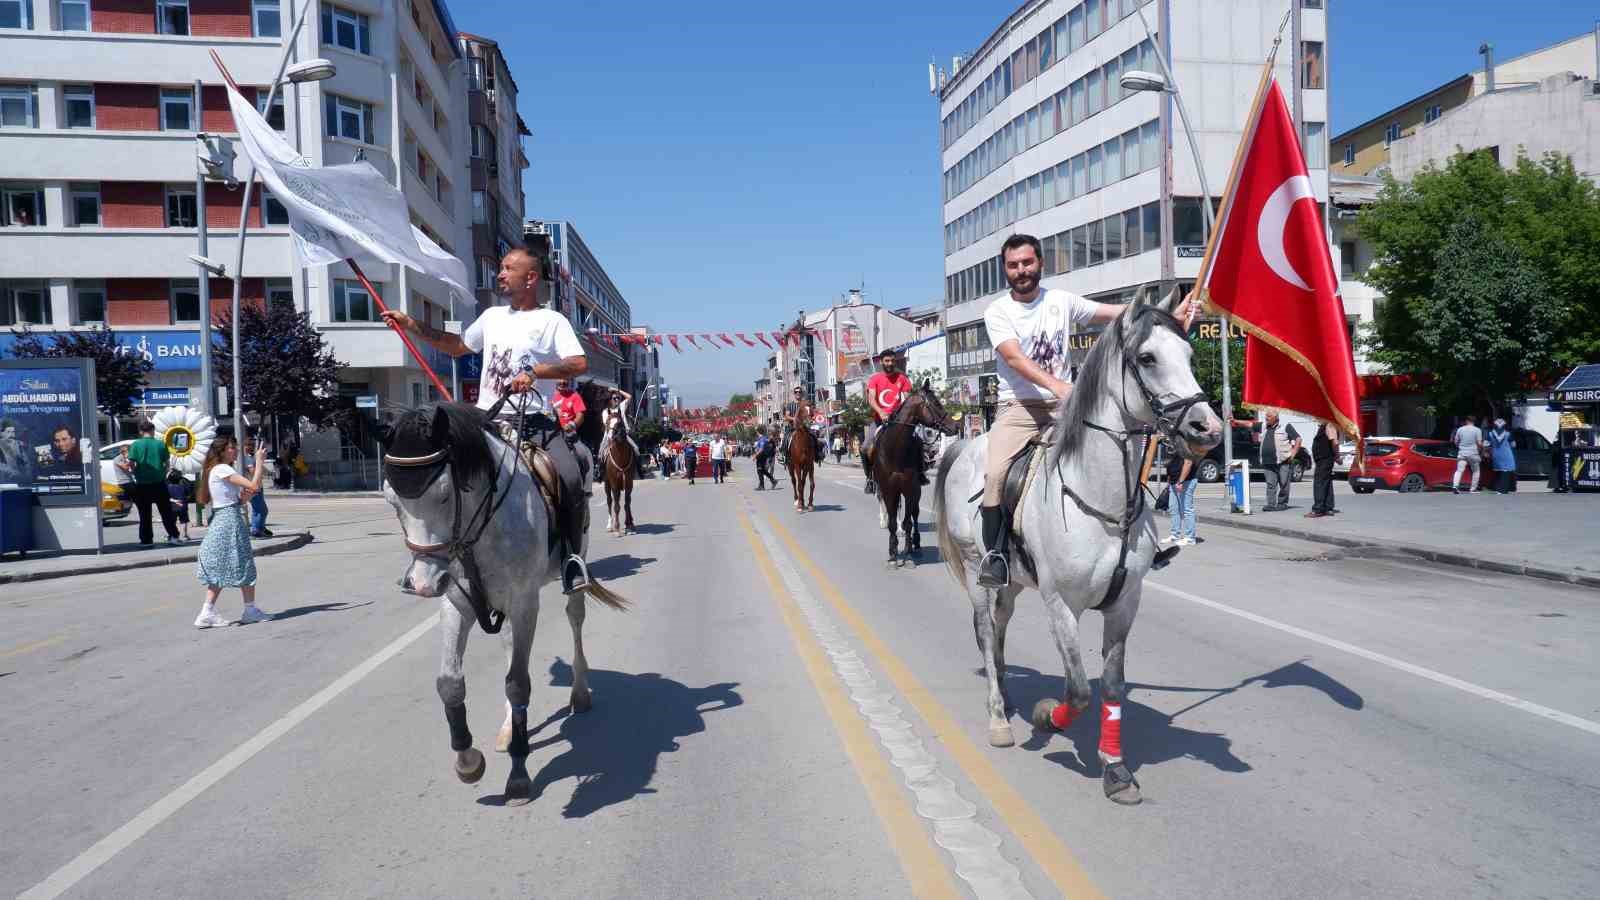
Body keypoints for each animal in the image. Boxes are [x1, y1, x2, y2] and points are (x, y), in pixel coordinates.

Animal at [384, 403, 627, 800]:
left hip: (573, 573)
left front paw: (518, 773)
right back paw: (508, 727)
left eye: (445, 494)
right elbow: (450, 682)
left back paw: (579, 693)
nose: (423, 584)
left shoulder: (525, 603)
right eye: (392, 500)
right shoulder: (457, 603)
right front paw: (468, 761)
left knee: (574, 619)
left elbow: (518, 683)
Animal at [870, 381, 953, 563]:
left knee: (914, 513)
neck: (895, 451)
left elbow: (908, 520)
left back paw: (916, 543)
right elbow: (892, 522)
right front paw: (893, 554)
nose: (955, 425)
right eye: (936, 403)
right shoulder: (889, 490)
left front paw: (908, 553)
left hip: (916, 490)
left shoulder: (910, 488)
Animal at [934, 293, 1216, 797]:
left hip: (1011, 582)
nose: (1208, 428)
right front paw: (1048, 718)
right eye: (1148, 358)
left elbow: (1111, 686)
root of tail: (964, 446)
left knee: (1001, 628)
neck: (1102, 502)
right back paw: (998, 718)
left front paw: (1115, 769)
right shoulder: (1061, 605)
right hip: (975, 572)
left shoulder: (1124, 603)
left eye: (1188, 354)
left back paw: (1006, 693)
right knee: (985, 632)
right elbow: (1079, 690)